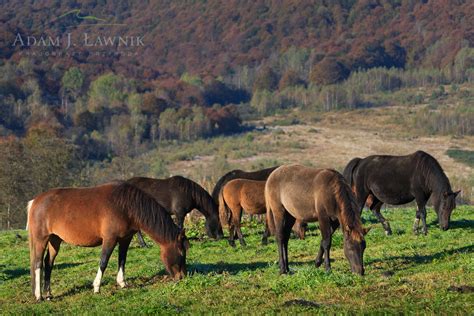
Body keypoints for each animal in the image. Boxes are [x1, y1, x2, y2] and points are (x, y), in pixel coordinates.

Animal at [27, 181, 189, 300]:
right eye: (181, 252)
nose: (182, 277)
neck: (126, 205)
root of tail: (35, 201)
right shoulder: (110, 239)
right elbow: (103, 262)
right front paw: (97, 287)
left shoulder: (125, 239)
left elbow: (122, 260)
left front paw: (122, 283)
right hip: (41, 239)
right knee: (38, 263)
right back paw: (39, 296)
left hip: (55, 240)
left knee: (48, 263)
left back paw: (48, 294)